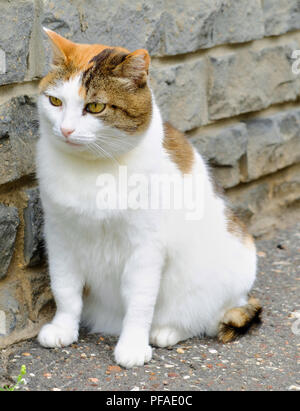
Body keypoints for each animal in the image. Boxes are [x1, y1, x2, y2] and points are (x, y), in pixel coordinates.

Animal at [36, 29, 262, 370]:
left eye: (96, 107)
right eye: (55, 101)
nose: (65, 130)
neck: (93, 169)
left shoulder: (146, 246)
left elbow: (140, 300)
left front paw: (132, 345)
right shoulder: (60, 234)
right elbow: (65, 288)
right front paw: (63, 328)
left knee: (208, 318)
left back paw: (166, 331)